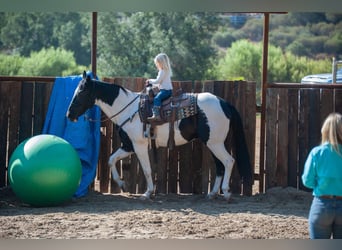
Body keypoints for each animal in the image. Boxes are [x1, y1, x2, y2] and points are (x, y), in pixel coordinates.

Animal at [67, 71, 252, 200]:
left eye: (81, 92)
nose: (69, 114)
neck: (128, 109)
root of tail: (224, 103)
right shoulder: (128, 145)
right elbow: (111, 159)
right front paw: (122, 184)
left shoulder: (139, 145)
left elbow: (147, 169)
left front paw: (147, 193)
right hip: (212, 143)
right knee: (220, 166)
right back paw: (212, 194)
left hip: (215, 143)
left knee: (228, 161)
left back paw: (226, 193)